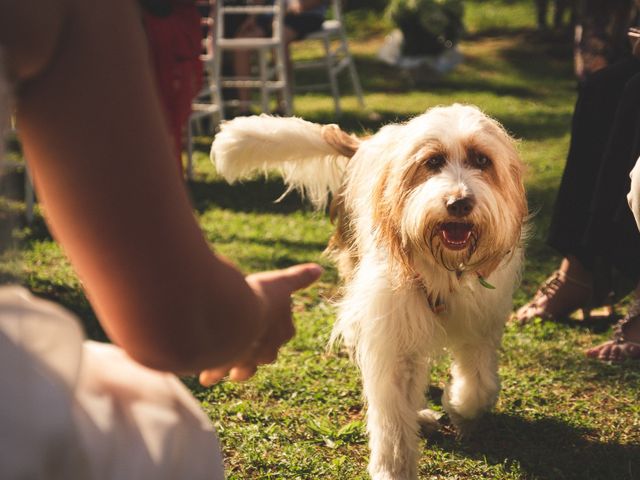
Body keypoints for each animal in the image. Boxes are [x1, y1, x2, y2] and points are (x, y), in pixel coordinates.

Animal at [212, 105, 528, 480]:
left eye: (482, 160)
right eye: (433, 161)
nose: (459, 203)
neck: (442, 270)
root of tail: (362, 145)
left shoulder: (480, 320)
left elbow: (480, 384)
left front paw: (458, 405)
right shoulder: (392, 331)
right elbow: (391, 414)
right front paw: (393, 467)